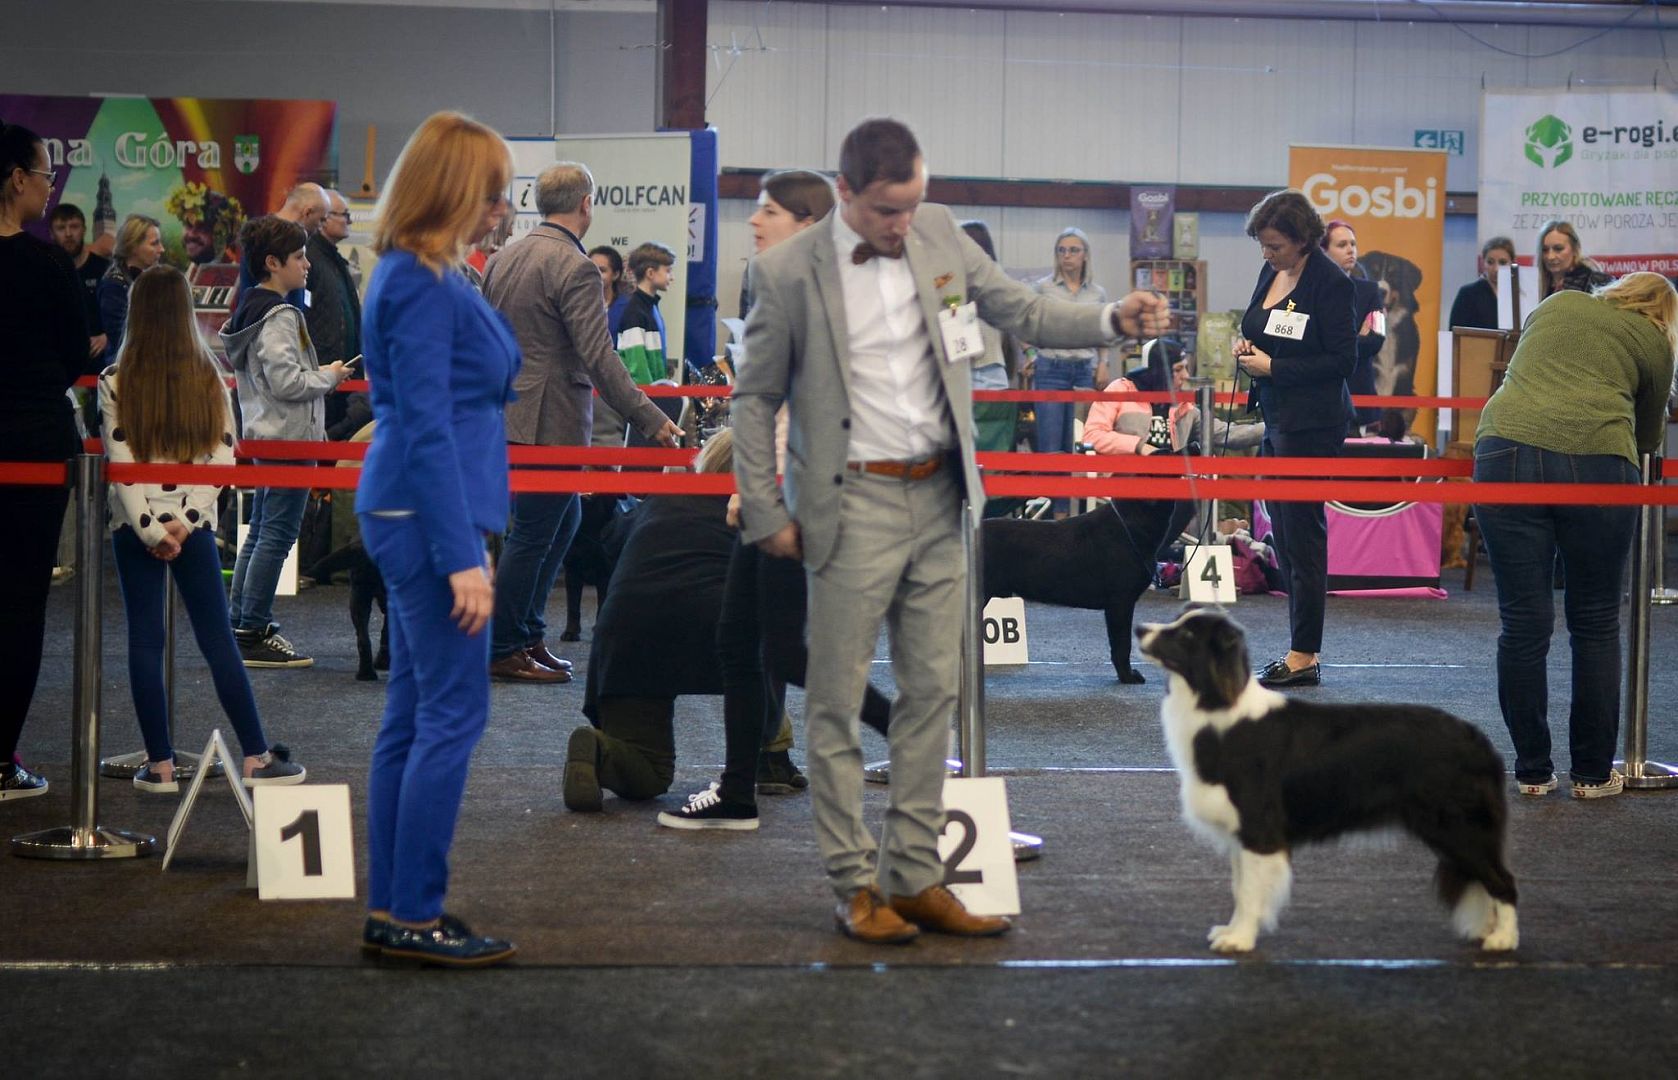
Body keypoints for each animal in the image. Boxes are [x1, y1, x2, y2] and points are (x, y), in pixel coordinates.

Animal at [1134, 607, 1516, 952]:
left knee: (1503, 880)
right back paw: (1487, 930)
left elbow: (1249, 890)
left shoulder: (1260, 827)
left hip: (1457, 825)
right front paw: (1232, 931)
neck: (1215, 703)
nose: (1139, 628)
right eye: (1177, 620)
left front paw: (1240, 940)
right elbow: (1239, 887)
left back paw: (1503, 939)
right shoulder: (1241, 832)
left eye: (1188, 634)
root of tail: (1479, 740)